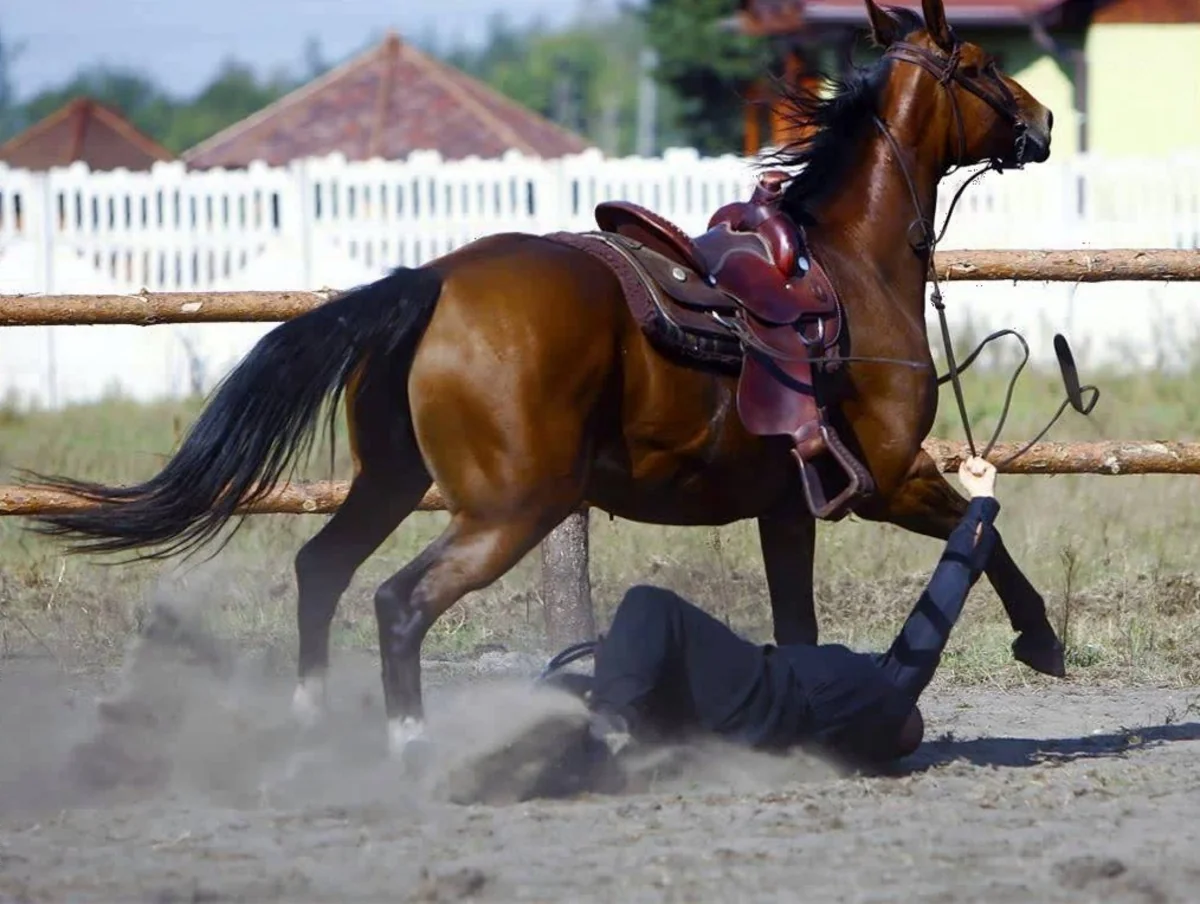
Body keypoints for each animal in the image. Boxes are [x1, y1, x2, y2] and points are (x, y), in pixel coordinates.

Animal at [20, 0, 1066, 760]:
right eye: (979, 61)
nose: (1045, 118)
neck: (842, 265)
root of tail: (434, 279)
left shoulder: (788, 509)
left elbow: (799, 621)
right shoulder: (889, 477)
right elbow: (988, 538)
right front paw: (1040, 640)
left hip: (394, 481)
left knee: (321, 568)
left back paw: (316, 723)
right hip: (509, 508)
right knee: (397, 602)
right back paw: (410, 744)